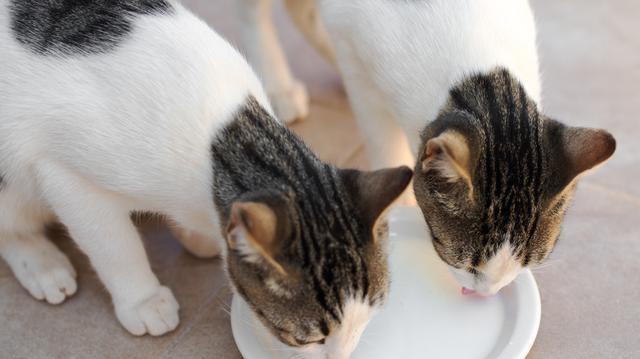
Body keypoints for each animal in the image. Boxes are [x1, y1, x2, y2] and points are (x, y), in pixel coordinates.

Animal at [0, 0, 410, 358]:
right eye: (306, 338)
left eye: (366, 321)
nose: (341, 356)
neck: (220, 137)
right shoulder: (64, 175)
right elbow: (114, 245)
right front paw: (143, 299)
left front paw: (194, 235)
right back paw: (41, 263)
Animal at [239, 0, 616, 296]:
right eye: (464, 261)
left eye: (527, 261)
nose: (486, 294)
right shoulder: (356, 53)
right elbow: (381, 136)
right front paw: (397, 206)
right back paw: (277, 84)